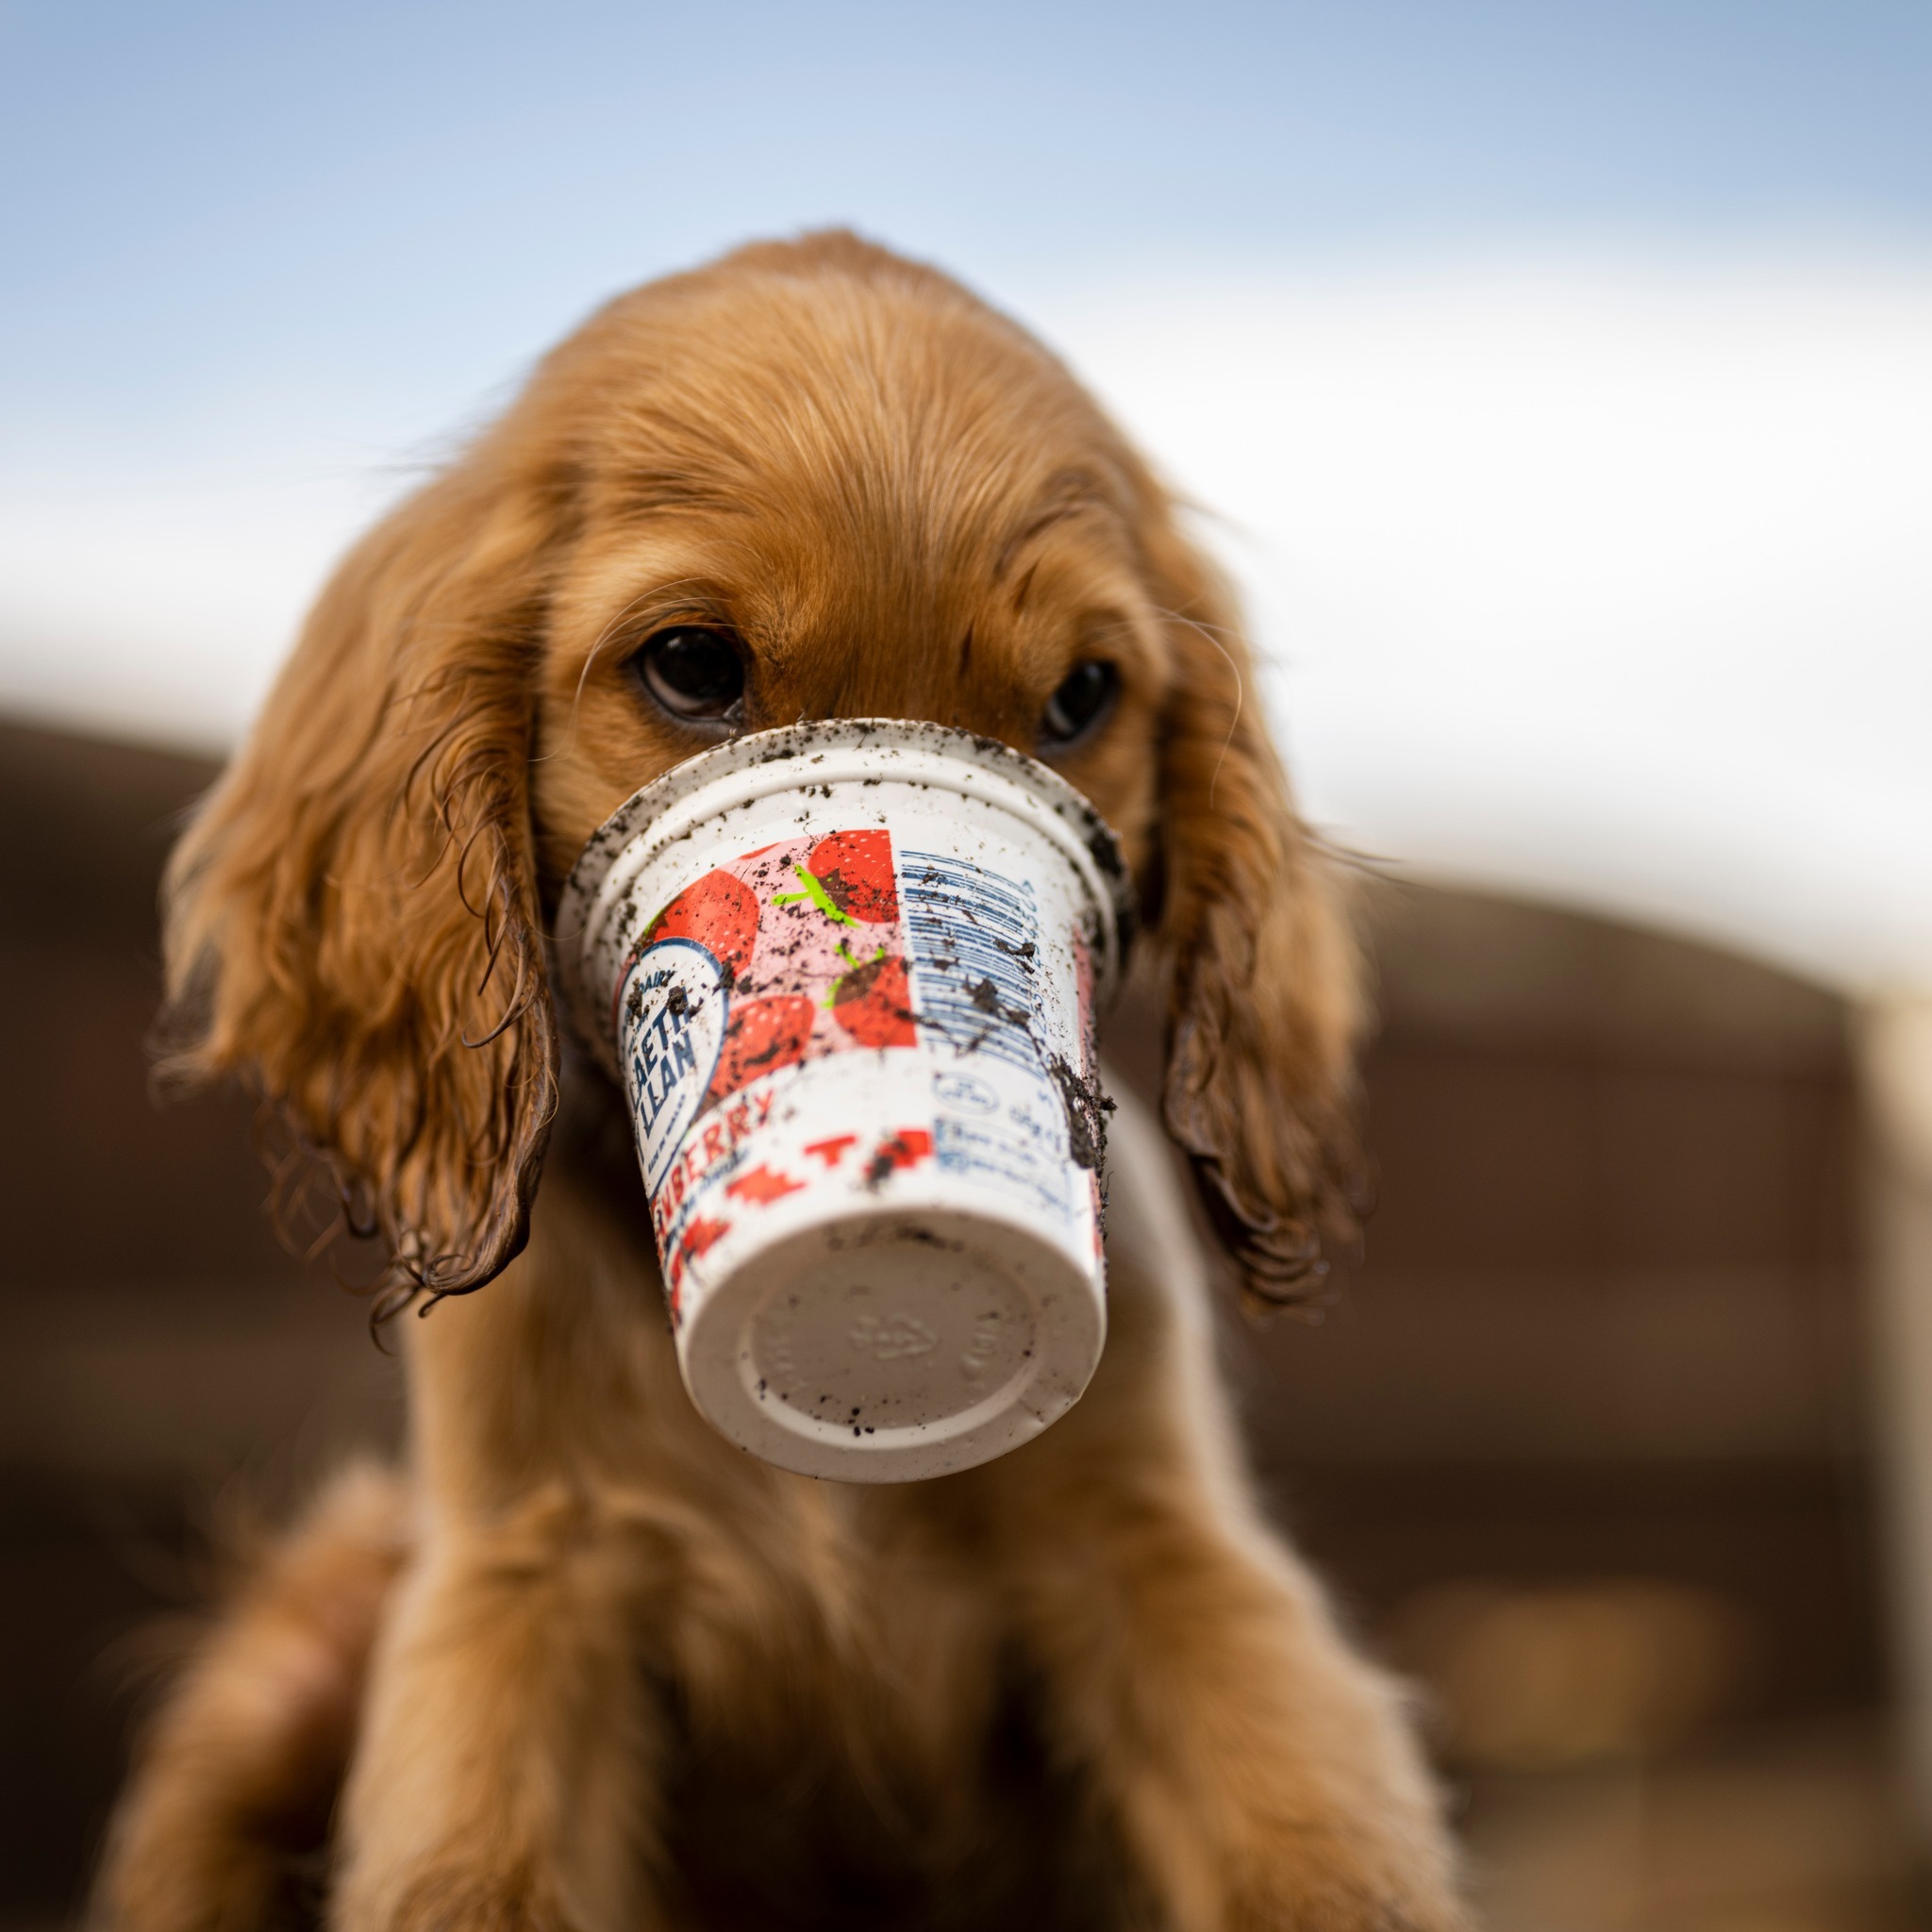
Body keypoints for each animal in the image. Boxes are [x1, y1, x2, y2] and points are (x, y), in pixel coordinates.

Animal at [93, 229, 1460, 1932]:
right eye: (691, 666)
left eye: (1081, 698)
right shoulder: (522, 1595)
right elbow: (474, 1869)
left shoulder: (1172, 1562)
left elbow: (1315, 1850)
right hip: (284, 1658)